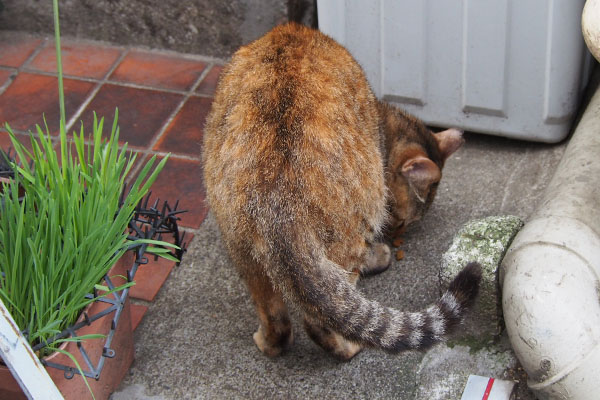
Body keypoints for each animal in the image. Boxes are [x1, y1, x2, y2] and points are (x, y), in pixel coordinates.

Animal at [203, 22, 482, 360]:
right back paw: (349, 346)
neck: (383, 122)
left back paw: (267, 343)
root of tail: (275, 199)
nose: (396, 233)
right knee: (324, 316)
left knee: (277, 318)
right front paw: (381, 253)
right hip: (346, 234)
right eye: (403, 221)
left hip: (241, 248)